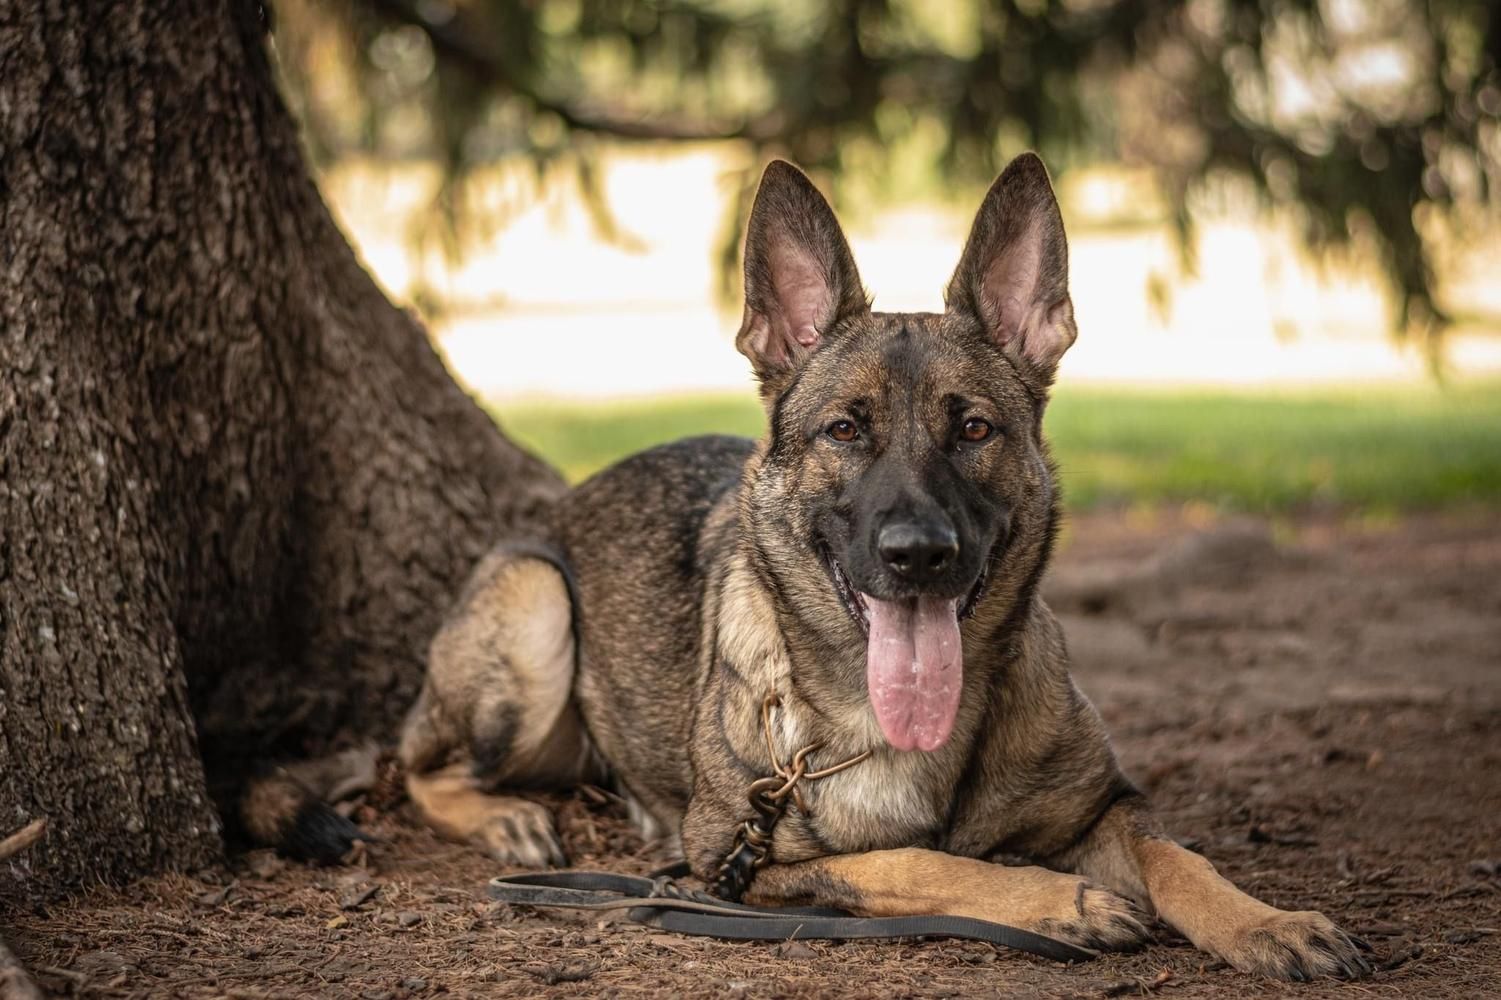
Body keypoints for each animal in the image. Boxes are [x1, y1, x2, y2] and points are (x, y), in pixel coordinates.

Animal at [399, 151, 1374, 978]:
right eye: (844, 429)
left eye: (973, 428)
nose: (918, 555)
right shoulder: (739, 863)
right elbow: (907, 860)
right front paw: (1060, 900)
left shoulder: (1108, 807)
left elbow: (1181, 858)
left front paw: (1265, 922)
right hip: (534, 605)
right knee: (419, 768)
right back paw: (507, 818)